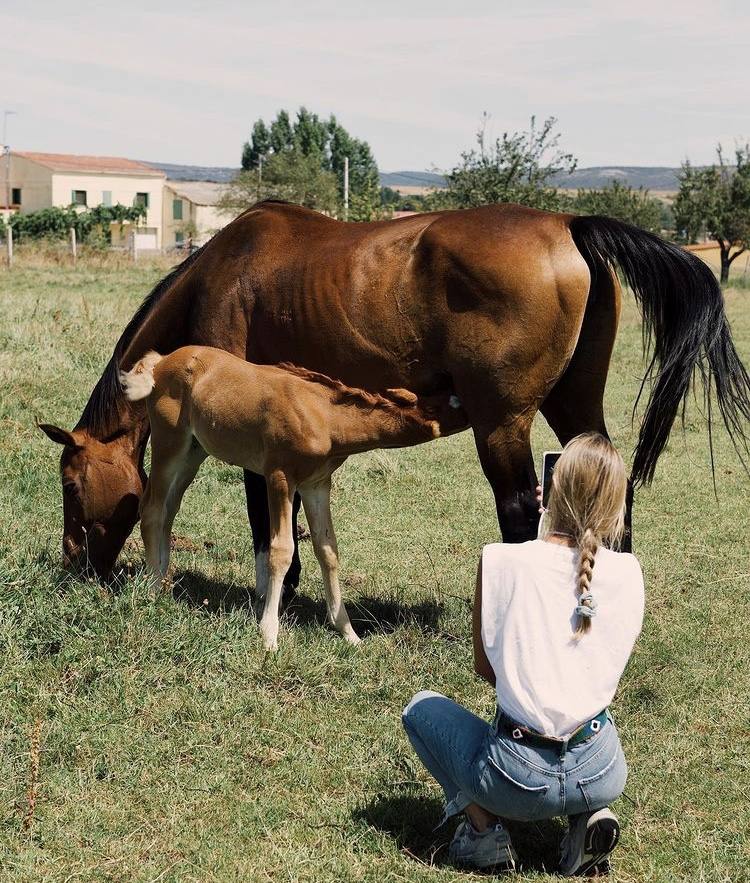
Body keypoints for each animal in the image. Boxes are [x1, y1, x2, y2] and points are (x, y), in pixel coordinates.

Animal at [41, 203, 750, 584]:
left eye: (72, 484)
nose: (77, 563)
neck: (219, 274)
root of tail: (568, 223)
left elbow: (262, 512)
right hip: (574, 405)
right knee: (609, 488)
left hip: (503, 423)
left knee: (521, 507)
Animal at [120, 348, 468, 652]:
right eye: (453, 403)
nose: (473, 405)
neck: (324, 416)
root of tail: (162, 361)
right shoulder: (279, 477)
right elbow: (281, 550)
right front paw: (269, 634)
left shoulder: (316, 484)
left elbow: (328, 550)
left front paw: (348, 633)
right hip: (170, 443)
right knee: (152, 508)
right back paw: (153, 588)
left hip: (195, 451)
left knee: (169, 509)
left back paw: (163, 576)